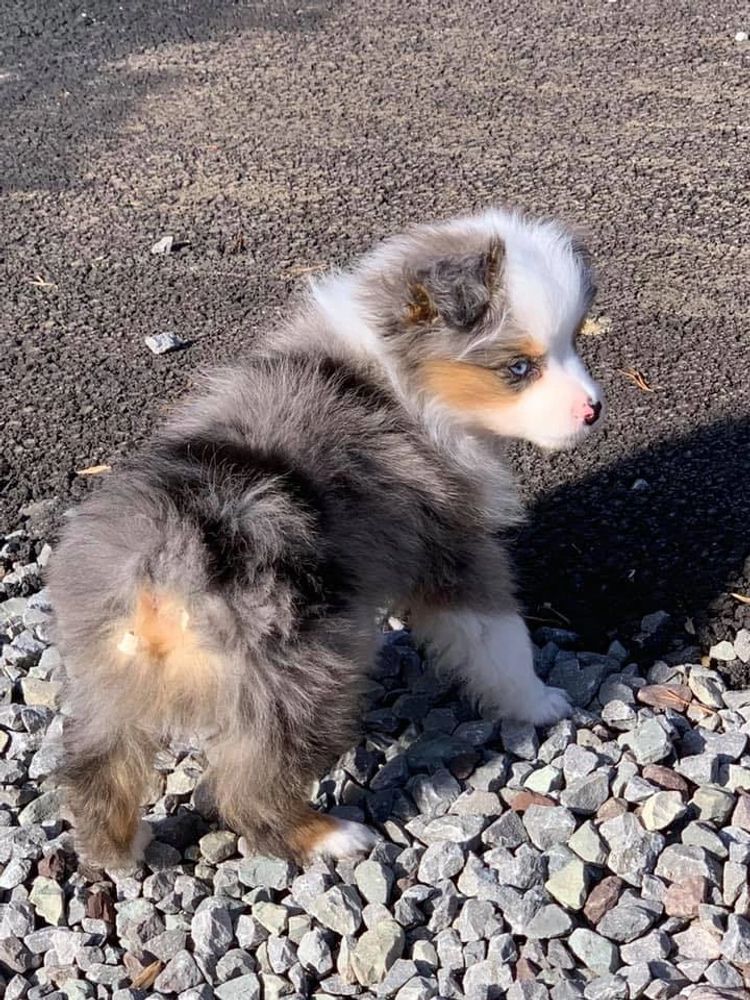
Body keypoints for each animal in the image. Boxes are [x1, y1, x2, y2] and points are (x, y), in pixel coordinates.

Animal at [48, 207, 604, 864]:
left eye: (574, 343)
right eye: (520, 368)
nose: (594, 410)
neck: (400, 376)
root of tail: (162, 560)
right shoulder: (452, 548)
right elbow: (502, 640)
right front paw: (542, 703)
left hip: (111, 674)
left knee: (97, 764)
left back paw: (122, 847)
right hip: (305, 677)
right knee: (243, 789)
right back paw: (330, 836)